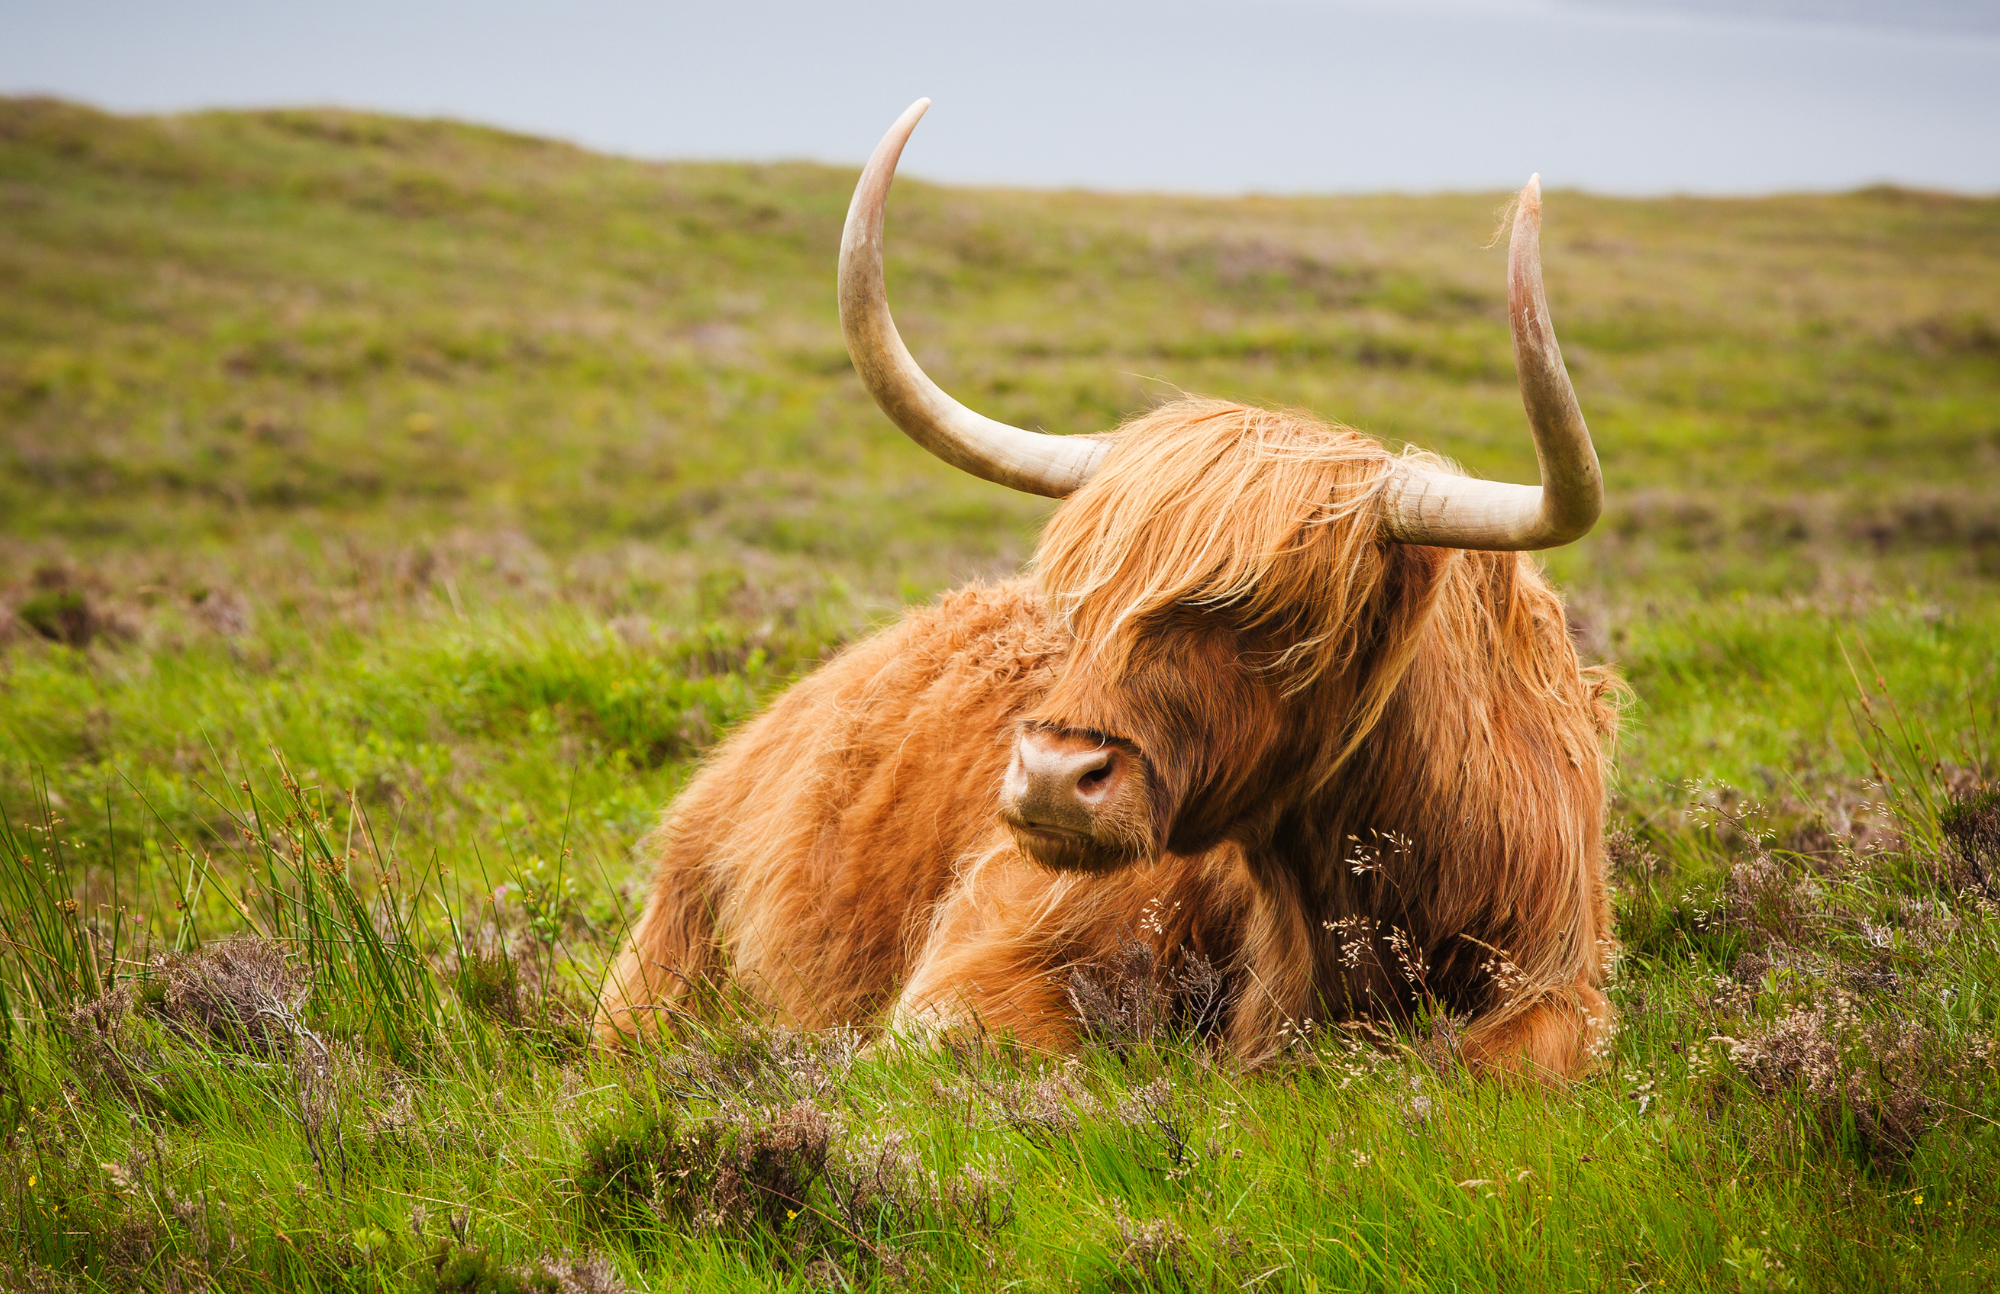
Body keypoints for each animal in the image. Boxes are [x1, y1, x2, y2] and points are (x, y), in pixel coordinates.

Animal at [596, 98, 1624, 1080]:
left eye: (1277, 618)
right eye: (1080, 604)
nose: (1056, 778)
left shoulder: (1560, 981)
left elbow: (1508, 1069)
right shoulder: (982, 960)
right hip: (663, 969)